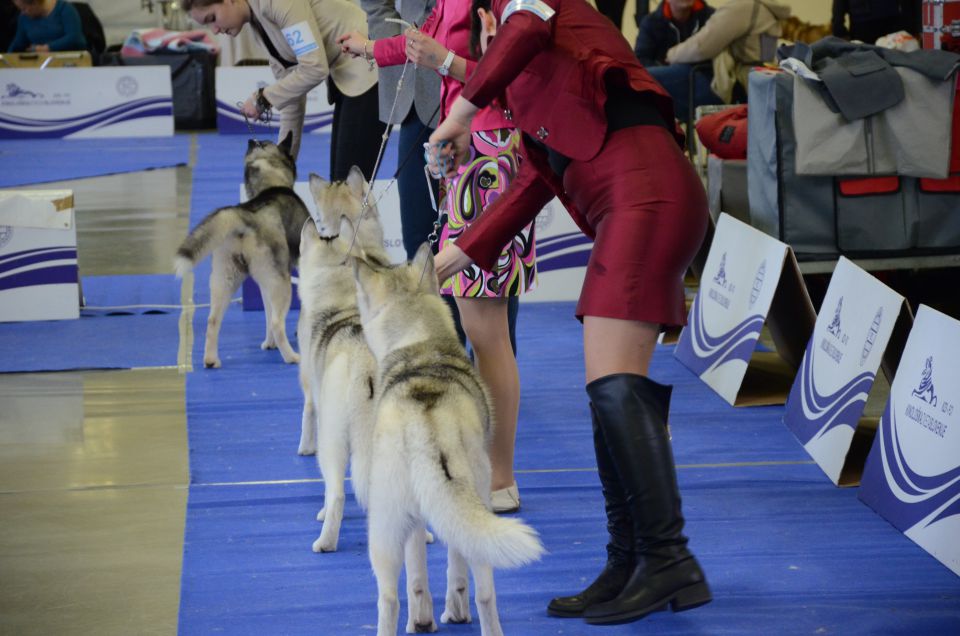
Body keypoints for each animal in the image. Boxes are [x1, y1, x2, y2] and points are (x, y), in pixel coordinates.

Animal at [174, 135, 306, 372]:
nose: (252, 138)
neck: (271, 184)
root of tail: (243, 214)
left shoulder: (264, 284)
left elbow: (266, 312)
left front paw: (268, 343)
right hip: (281, 282)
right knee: (277, 322)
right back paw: (292, 357)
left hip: (226, 278)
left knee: (213, 320)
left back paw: (211, 360)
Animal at [354, 243, 548, 636]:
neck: (421, 344)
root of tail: (424, 427)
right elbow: (455, 571)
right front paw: (451, 612)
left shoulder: (416, 521)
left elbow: (417, 578)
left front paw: (424, 619)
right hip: (471, 505)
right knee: (485, 594)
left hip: (384, 528)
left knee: (390, 598)